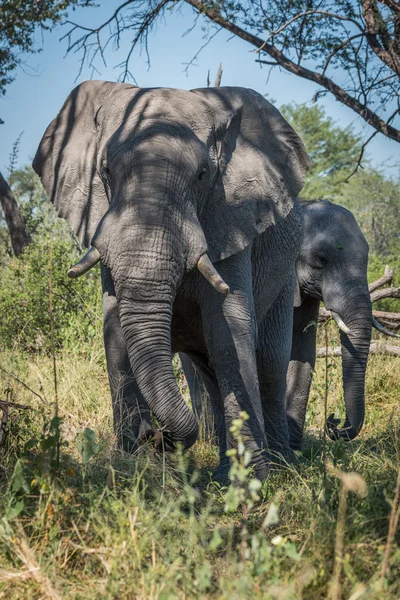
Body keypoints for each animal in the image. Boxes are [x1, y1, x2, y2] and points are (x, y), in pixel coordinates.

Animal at [32, 81, 310, 478]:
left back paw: (282, 466)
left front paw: (250, 483)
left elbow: (229, 333)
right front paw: (127, 469)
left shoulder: (230, 218)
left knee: (269, 362)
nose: (156, 436)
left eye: (203, 174)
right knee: (208, 371)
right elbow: (115, 336)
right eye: (105, 171)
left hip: (285, 269)